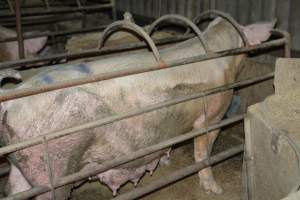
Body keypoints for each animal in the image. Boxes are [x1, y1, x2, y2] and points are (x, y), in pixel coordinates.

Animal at [0, 16, 274, 198]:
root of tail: (12, 99)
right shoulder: (214, 113)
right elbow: (203, 152)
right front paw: (215, 189)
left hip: (23, 164)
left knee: (13, 187)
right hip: (55, 165)